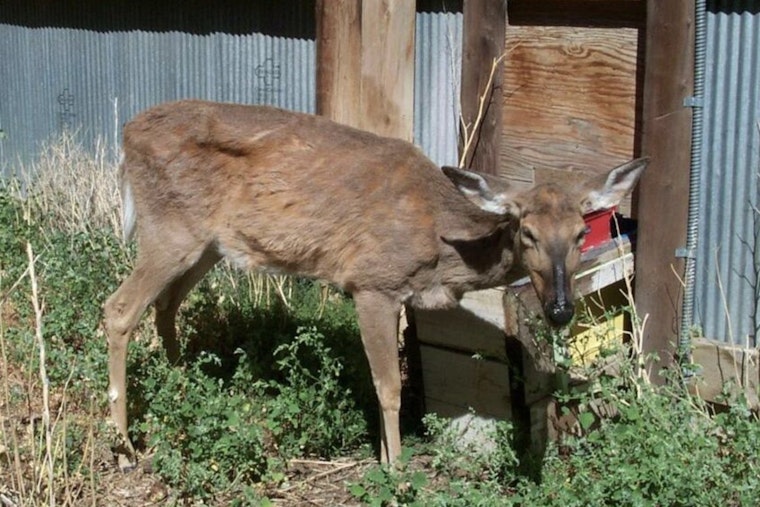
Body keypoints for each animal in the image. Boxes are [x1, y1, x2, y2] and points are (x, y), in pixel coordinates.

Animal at [103, 99, 647, 470]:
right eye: (527, 231)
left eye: (581, 233)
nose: (559, 309)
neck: (440, 245)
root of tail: (126, 135)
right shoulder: (371, 282)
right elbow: (389, 387)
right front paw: (397, 469)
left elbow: (381, 380)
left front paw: (387, 458)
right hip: (169, 230)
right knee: (119, 309)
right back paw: (127, 447)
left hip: (207, 245)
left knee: (165, 306)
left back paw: (184, 389)